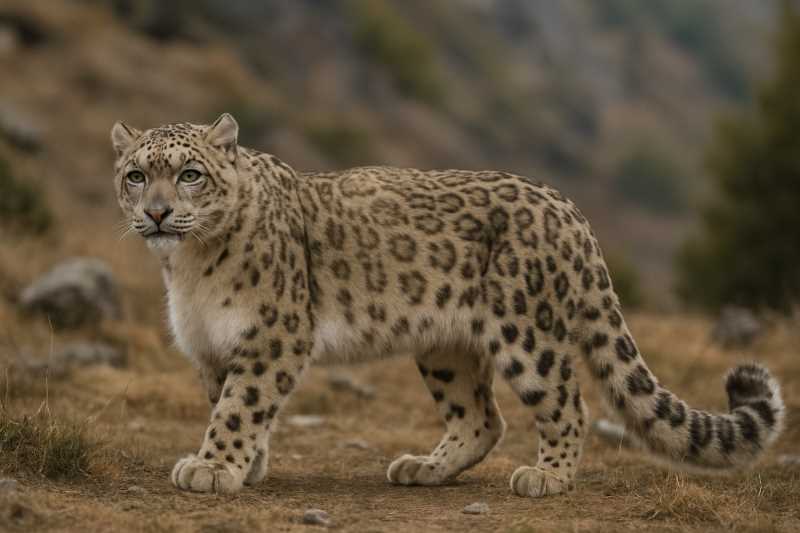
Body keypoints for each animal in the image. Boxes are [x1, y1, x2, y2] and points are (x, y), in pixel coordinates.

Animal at [111, 113, 785, 496]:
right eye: (135, 175)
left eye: (190, 174)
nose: (158, 213)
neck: (188, 270)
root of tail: (570, 210)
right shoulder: (212, 346)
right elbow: (228, 404)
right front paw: (242, 467)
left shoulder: (274, 334)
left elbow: (239, 407)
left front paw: (212, 468)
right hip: (446, 347)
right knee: (482, 417)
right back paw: (423, 468)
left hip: (527, 335)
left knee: (566, 402)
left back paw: (548, 477)